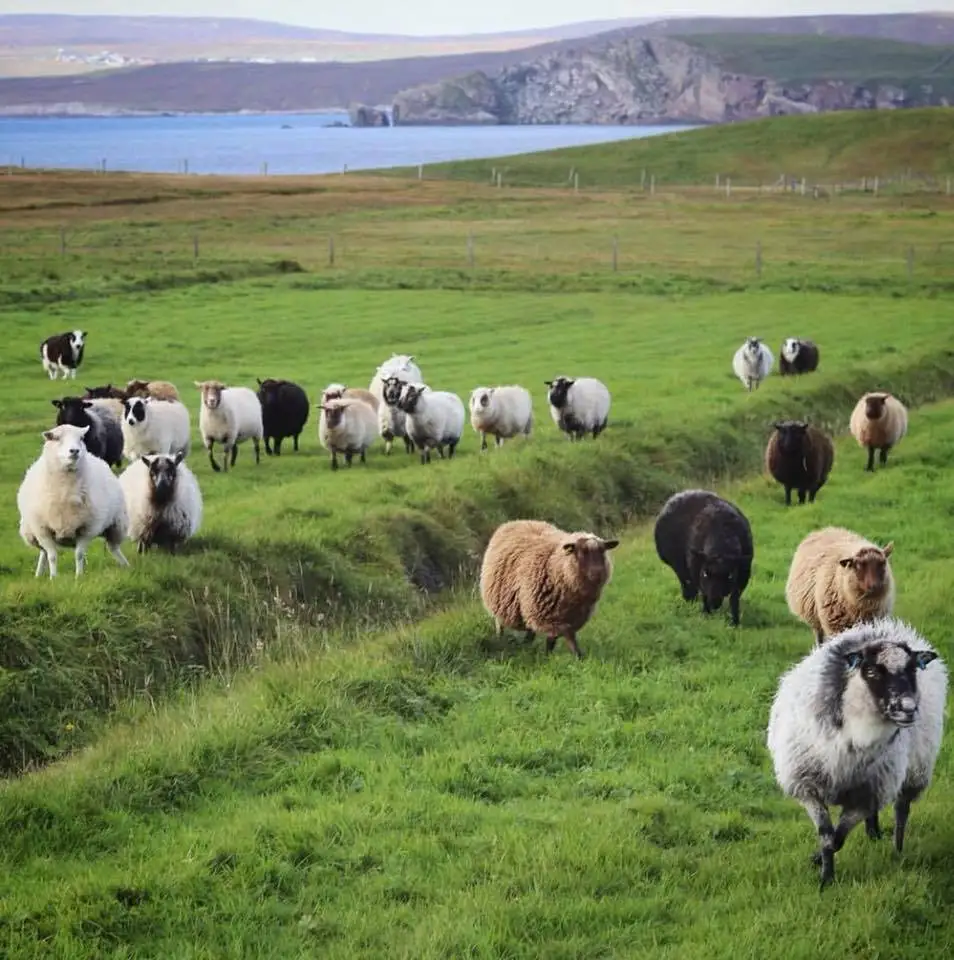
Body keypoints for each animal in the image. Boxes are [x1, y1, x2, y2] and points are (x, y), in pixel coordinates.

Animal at [17, 423, 129, 578]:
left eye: (81, 438)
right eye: (56, 438)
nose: (75, 450)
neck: (65, 492)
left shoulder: (87, 529)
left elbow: (79, 554)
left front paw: (78, 576)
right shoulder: (42, 530)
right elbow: (52, 556)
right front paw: (53, 578)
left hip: (116, 524)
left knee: (113, 547)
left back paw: (126, 565)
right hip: (30, 533)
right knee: (43, 552)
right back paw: (39, 574)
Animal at [479, 519, 619, 659]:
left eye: (603, 551)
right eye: (582, 552)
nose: (598, 573)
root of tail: (518, 521)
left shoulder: (569, 616)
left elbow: (554, 638)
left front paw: (552, 655)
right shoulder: (549, 616)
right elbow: (566, 635)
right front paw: (576, 657)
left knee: (530, 629)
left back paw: (526, 644)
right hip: (502, 603)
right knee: (500, 625)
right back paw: (502, 640)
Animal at [653, 489, 753, 626]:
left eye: (730, 576)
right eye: (705, 574)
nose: (715, 603)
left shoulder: (741, 577)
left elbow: (734, 599)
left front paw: (734, 623)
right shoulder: (697, 572)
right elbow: (704, 593)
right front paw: (706, 615)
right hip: (680, 567)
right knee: (686, 583)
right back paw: (690, 600)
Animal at [766, 618, 947, 890]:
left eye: (912, 670)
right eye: (871, 671)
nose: (908, 709)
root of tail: (883, 626)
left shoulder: (866, 795)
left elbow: (837, 839)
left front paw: (822, 867)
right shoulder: (808, 787)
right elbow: (826, 835)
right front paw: (825, 878)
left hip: (914, 770)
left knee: (901, 811)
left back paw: (897, 849)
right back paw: (873, 834)